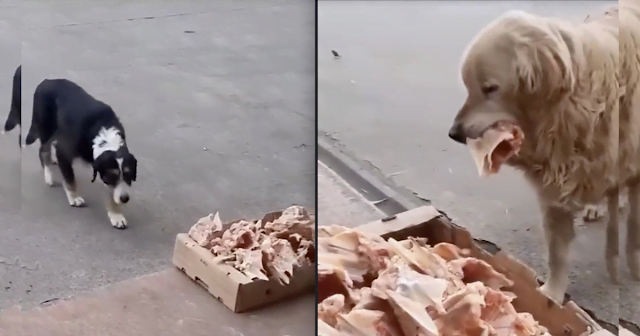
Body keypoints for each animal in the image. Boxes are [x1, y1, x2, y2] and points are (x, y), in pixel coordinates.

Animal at [24, 79, 138, 230]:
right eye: (112, 176)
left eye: (128, 175)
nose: (124, 198)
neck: (103, 134)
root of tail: (46, 81)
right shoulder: (64, 151)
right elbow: (70, 179)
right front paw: (74, 198)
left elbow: (111, 192)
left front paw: (116, 215)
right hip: (46, 127)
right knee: (43, 150)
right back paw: (49, 176)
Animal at [450, 7, 640, 304]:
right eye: (468, 86)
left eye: (490, 88)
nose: (454, 133)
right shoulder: (555, 188)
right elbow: (557, 254)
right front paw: (551, 296)